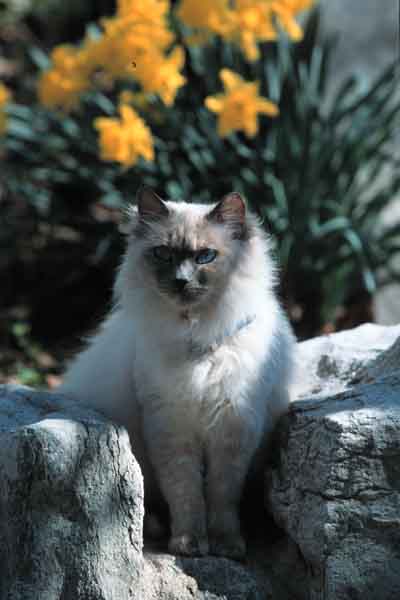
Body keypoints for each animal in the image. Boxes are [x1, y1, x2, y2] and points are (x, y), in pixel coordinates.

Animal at [61, 186, 296, 556]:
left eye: (205, 257)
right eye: (163, 254)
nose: (181, 281)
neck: (196, 339)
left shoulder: (233, 428)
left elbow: (222, 497)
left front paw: (226, 545)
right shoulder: (171, 428)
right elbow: (186, 494)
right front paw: (189, 543)